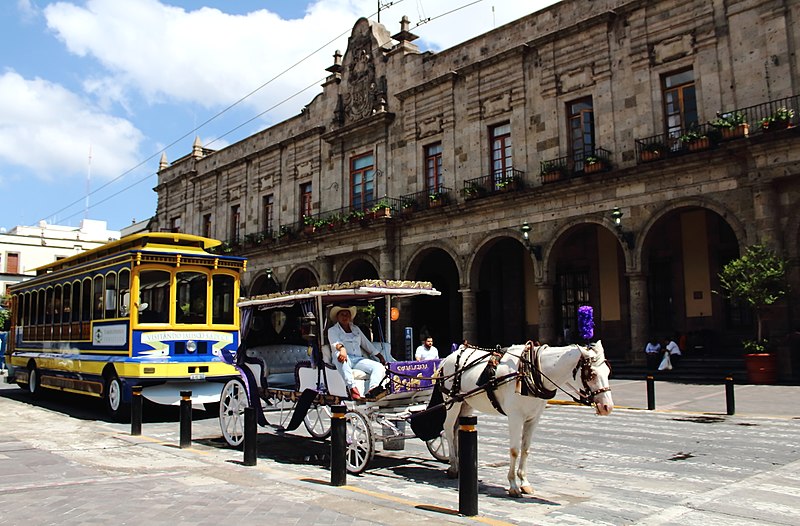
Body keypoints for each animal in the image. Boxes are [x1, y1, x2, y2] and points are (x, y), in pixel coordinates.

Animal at [438, 342, 612, 500]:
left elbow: (526, 449)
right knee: (447, 429)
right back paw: (454, 467)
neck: (531, 374)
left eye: (608, 372)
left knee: (456, 429)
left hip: (466, 404)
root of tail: (448, 357)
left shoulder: (533, 418)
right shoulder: (515, 417)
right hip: (452, 401)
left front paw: (524, 482)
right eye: (591, 374)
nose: (607, 407)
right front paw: (513, 486)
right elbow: (515, 450)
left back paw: (458, 462)